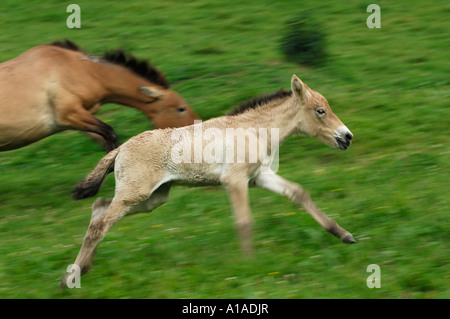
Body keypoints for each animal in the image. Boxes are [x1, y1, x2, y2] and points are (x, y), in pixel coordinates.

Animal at [0, 39, 199, 152]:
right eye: (181, 108)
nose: (198, 130)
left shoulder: (78, 118)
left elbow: (104, 141)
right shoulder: (69, 114)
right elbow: (110, 134)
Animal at [59, 75, 356, 288]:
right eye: (320, 111)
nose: (347, 137)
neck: (253, 130)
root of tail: (120, 149)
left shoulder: (258, 177)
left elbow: (298, 193)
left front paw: (344, 235)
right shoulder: (234, 180)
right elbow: (244, 220)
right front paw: (250, 265)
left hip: (154, 197)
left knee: (99, 208)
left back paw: (80, 269)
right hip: (136, 194)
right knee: (100, 225)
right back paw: (69, 279)